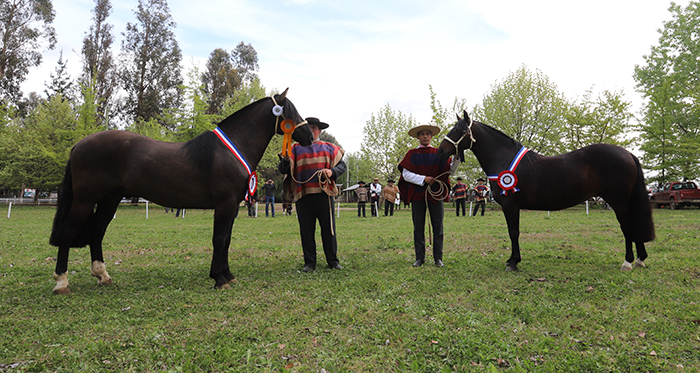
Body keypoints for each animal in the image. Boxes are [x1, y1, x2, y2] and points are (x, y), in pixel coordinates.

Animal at [49, 88, 312, 292]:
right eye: (289, 112)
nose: (309, 135)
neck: (229, 150)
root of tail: (79, 144)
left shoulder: (232, 208)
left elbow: (226, 240)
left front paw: (227, 275)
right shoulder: (225, 205)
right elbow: (219, 239)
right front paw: (219, 278)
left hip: (109, 199)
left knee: (97, 232)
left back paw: (103, 276)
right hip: (85, 200)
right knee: (68, 231)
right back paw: (62, 282)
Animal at [438, 110, 656, 270]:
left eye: (459, 130)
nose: (441, 150)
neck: (503, 158)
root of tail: (627, 153)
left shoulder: (510, 205)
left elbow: (513, 232)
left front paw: (513, 262)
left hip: (618, 202)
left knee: (627, 227)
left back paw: (628, 261)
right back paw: (640, 259)